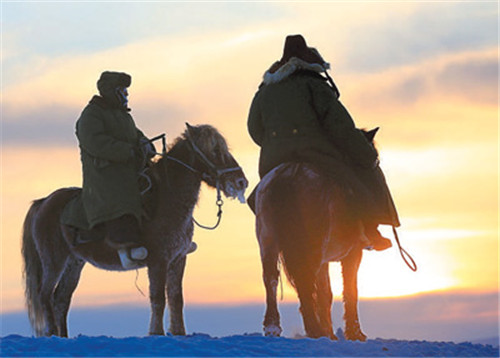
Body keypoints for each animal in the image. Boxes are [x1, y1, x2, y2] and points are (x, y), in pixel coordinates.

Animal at [21, 122, 248, 336]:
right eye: (215, 150)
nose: (241, 182)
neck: (167, 199)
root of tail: (43, 202)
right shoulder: (158, 261)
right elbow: (158, 298)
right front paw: (156, 332)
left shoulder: (178, 259)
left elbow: (176, 299)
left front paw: (179, 332)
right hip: (54, 261)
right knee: (45, 296)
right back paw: (52, 334)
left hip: (74, 263)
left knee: (61, 299)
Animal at [256, 129, 380, 342]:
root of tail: (290, 173)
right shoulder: (353, 253)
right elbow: (350, 290)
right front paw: (354, 333)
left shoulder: (325, 260)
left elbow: (325, 294)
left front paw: (330, 333)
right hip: (310, 246)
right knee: (304, 280)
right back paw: (314, 329)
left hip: (268, 242)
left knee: (271, 278)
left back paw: (273, 327)